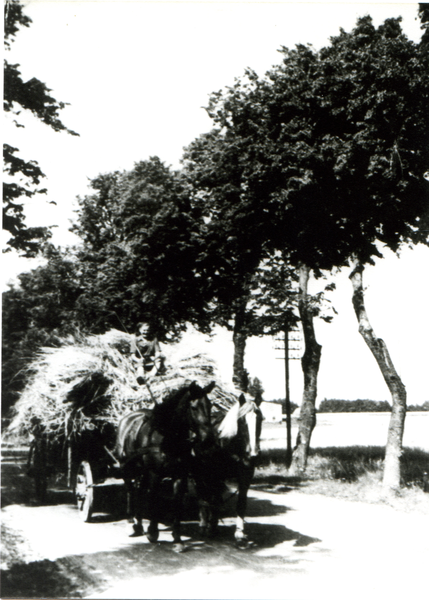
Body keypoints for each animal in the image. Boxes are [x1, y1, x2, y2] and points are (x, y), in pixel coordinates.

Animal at [114, 382, 214, 552]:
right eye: (194, 408)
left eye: (210, 406)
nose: (208, 439)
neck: (168, 437)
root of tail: (129, 417)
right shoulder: (155, 473)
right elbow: (154, 498)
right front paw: (153, 531)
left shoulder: (180, 475)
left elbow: (177, 502)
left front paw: (177, 538)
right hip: (126, 466)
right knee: (130, 490)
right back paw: (131, 522)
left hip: (143, 470)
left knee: (140, 491)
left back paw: (138, 524)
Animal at [193, 392, 260, 548]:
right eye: (241, 421)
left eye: (260, 419)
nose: (253, 454)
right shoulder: (216, 476)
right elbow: (214, 499)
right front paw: (211, 527)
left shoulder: (245, 476)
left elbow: (241, 504)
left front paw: (239, 534)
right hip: (199, 472)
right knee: (202, 494)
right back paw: (203, 524)